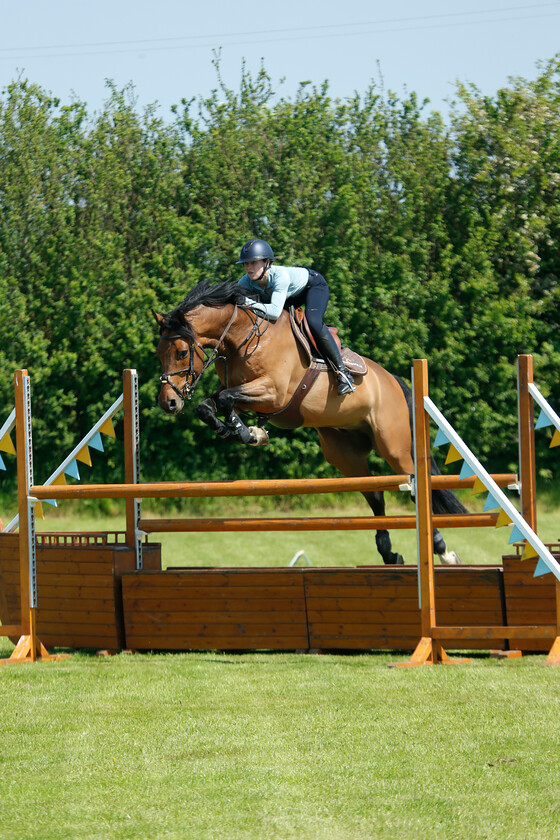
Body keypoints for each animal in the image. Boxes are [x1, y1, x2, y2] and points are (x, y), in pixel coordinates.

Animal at [153, 280, 464, 564]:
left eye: (182, 352)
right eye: (159, 353)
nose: (169, 402)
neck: (242, 337)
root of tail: (394, 381)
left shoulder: (274, 393)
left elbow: (227, 399)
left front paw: (246, 432)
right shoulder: (240, 390)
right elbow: (209, 405)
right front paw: (238, 431)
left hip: (393, 445)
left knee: (414, 486)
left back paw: (443, 551)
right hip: (344, 452)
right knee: (375, 494)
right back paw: (389, 553)